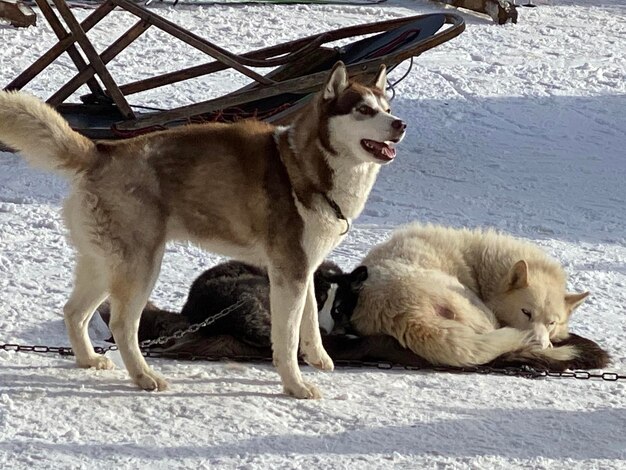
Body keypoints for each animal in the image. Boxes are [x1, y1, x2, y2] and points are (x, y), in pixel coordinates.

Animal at [0, 62, 404, 398]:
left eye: (386, 107)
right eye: (363, 110)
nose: (400, 124)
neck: (306, 167)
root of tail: (102, 150)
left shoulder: (302, 269)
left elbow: (307, 323)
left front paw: (317, 357)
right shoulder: (288, 271)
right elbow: (286, 338)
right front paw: (294, 385)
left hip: (104, 263)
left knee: (74, 312)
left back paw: (88, 359)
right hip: (141, 266)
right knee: (121, 324)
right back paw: (144, 377)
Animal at [352, 224, 588, 368]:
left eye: (551, 323)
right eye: (526, 312)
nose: (540, 344)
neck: (481, 266)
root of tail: (405, 316)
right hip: (476, 308)